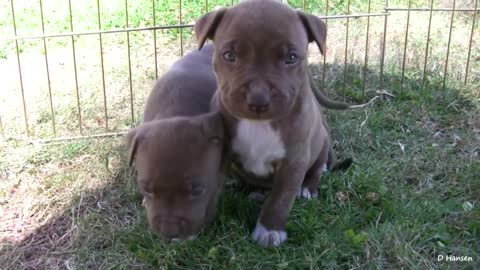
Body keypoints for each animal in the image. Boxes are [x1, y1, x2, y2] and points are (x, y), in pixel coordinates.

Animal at [195, 0, 342, 247]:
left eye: (291, 57)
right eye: (229, 55)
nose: (258, 99)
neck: (259, 124)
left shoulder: (293, 162)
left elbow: (280, 199)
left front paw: (270, 231)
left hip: (320, 142)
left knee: (316, 168)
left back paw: (308, 188)